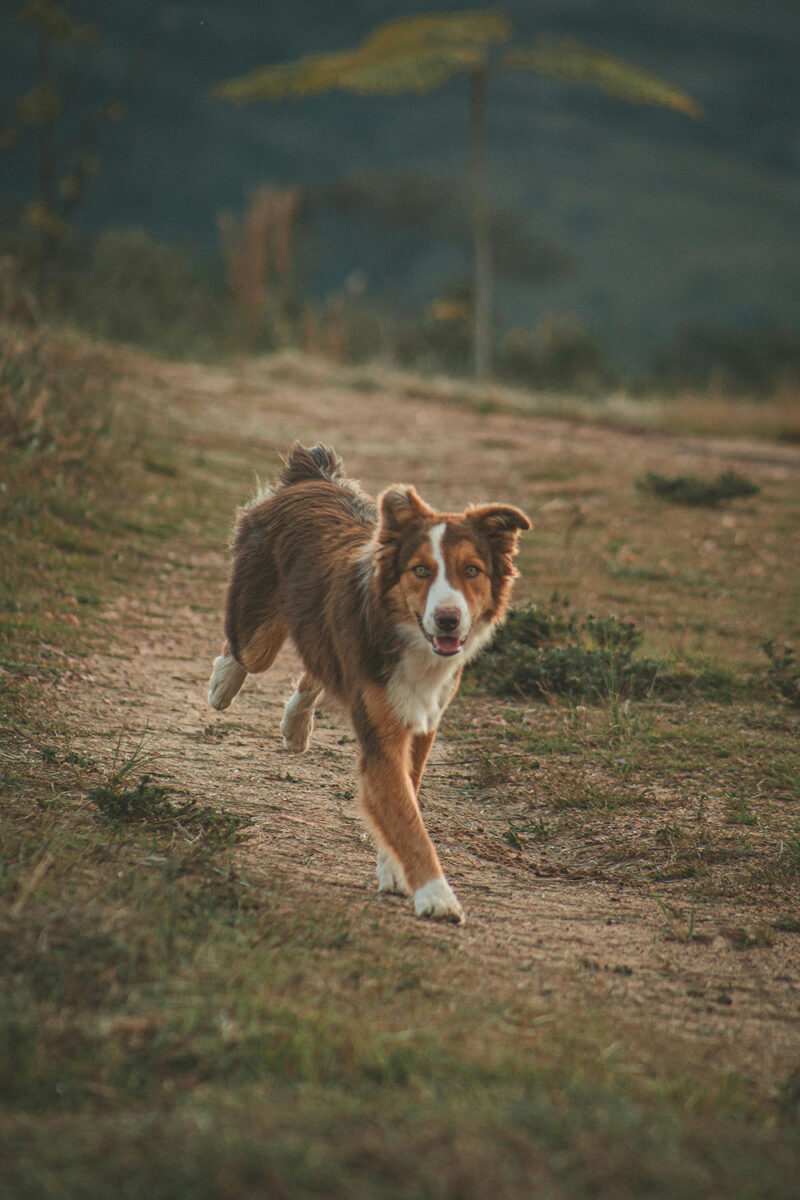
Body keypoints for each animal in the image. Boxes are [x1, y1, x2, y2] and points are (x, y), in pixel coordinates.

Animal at [209, 446, 527, 921]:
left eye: (472, 570)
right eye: (420, 570)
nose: (448, 619)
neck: (410, 638)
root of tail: (314, 476)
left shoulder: (422, 722)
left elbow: (404, 803)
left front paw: (396, 873)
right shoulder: (383, 735)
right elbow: (407, 819)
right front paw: (436, 895)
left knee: (317, 668)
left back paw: (296, 725)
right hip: (258, 633)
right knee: (244, 651)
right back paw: (223, 685)